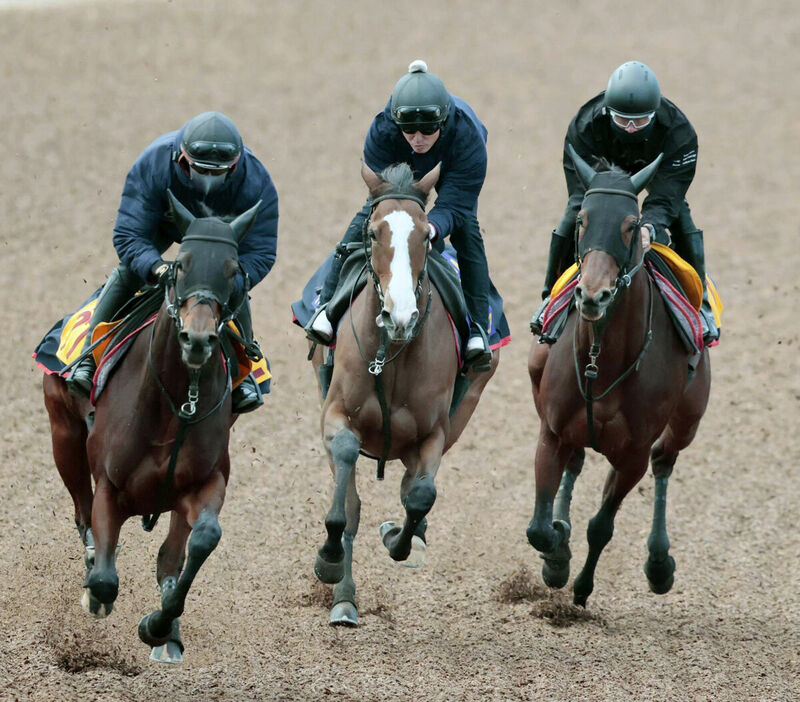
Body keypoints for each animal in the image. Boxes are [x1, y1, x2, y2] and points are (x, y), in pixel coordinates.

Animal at [41, 190, 260, 664]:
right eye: (182, 266)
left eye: (233, 272)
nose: (197, 340)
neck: (177, 402)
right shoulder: (110, 486)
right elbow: (105, 577)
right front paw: (96, 594)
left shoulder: (205, 481)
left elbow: (199, 542)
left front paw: (158, 625)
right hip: (63, 432)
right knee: (82, 513)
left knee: (172, 554)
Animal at [312, 164, 500, 628]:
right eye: (373, 232)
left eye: (427, 236)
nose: (400, 316)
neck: (392, 353)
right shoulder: (334, 414)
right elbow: (348, 489)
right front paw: (329, 561)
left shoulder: (434, 433)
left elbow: (421, 495)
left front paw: (400, 539)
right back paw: (344, 598)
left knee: (410, 488)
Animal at [528, 144, 708, 612]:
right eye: (582, 220)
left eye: (630, 226)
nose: (593, 295)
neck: (601, 360)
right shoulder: (552, 431)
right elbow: (539, 527)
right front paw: (557, 553)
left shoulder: (632, 455)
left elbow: (601, 526)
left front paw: (580, 585)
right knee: (575, 462)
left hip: (689, 418)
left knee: (665, 461)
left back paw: (659, 563)